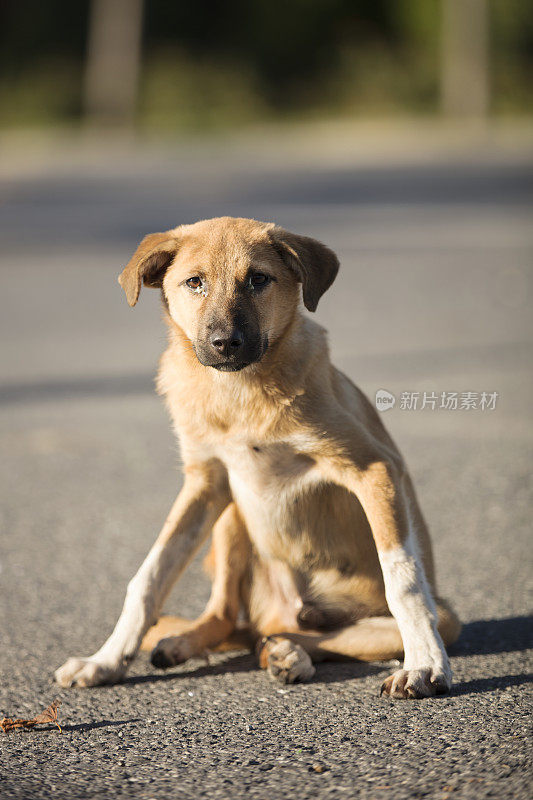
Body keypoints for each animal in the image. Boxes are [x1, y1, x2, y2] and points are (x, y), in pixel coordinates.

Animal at [55, 216, 462, 696]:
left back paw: (289, 653)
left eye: (258, 280)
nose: (224, 343)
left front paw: (425, 664)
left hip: (428, 618)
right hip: (231, 512)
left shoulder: (374, 468)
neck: (238, 394)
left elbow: (403, 579)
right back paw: (189, 643)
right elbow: (149, 578)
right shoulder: (206, 480)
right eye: (194, 282)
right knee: (228, 617)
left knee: (290, 635)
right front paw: (105, 661)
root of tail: (280, 612)